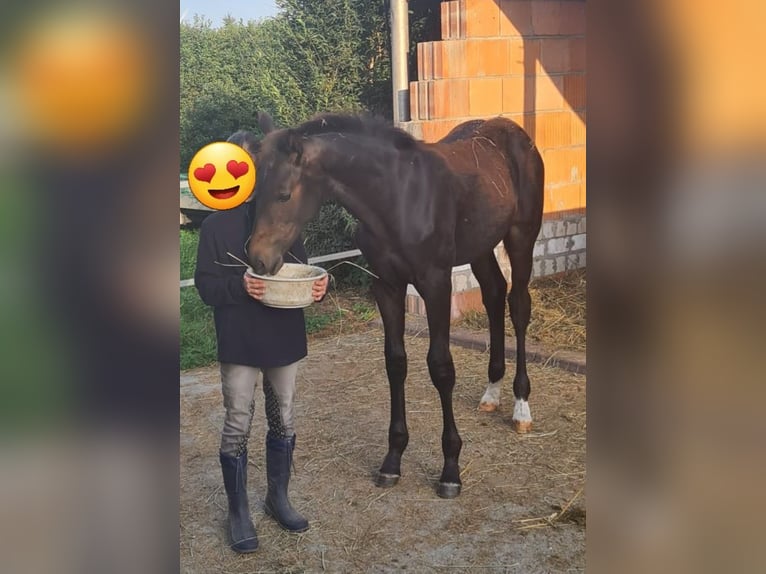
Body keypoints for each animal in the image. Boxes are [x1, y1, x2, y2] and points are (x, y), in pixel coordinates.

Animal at [245, 112, 544, 498]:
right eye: (255, 193)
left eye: (283, 194)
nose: (259, 259)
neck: (397, 197)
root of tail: (515, 132)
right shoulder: (386, 285)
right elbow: (395, 363)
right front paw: (392, 459)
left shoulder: (436, 283)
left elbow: (441, 368)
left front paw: (450, 469)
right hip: (480, 243)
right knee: (493, 293)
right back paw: (492, 391)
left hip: (522, 235)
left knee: (518, 305)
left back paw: (521, 407)